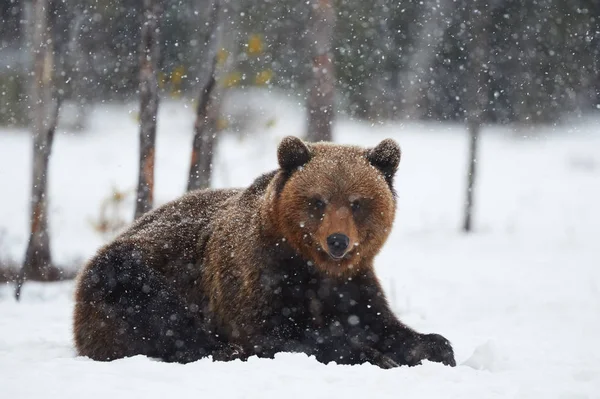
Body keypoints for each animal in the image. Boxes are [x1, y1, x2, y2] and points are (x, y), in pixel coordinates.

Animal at [72, 137, 454, 368]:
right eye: (318, 201)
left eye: (357, 203)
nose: (337, 241)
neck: (312, 266)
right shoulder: (257, 275)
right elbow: (275, 333)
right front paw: (368, 354)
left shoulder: (352, 283)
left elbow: (382, 324)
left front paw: (435, 347)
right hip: (131, 270)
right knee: (152, 306)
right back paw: (220, 349)